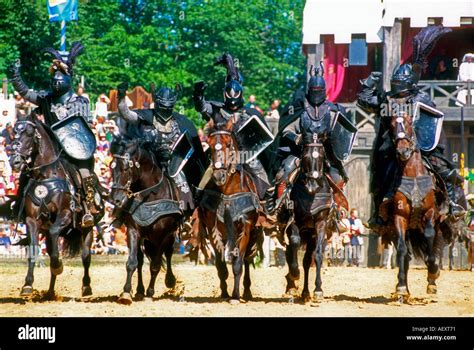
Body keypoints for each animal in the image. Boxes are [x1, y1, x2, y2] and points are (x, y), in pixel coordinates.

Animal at [10, 113, 101, 300]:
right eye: (14, 132)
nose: (15, 161)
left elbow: (54, 236)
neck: (46, 175)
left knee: (86, 256)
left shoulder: (65, 214)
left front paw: (58, 265)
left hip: (87, 229)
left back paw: (86, 287)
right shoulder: (32, 221)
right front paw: (27, 285)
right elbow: (34, 250)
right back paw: (50, 292)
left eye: (29, 133)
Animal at [111, 139, 183, 304]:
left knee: (168, 254)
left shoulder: (165, 234)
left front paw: (150, 292)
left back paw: (169, 281)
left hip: (168, 237)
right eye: (112, 168)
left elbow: (156, 265)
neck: (151, 197)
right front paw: (126, 293)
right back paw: (139, 290)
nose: (116, 199)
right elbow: (132, 263)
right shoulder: (133, 230)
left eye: (125, 168)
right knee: (140, 259)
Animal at [197, 119, 262, 302]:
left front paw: (235, 295)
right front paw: (225, 293)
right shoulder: (213, 227)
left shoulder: (245, 227)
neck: (227, 191)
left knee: (246, 260)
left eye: (228, 144)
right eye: (210, 145)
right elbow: (220, 265)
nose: (219, 176)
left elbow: (239, 262)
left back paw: (246, 291)